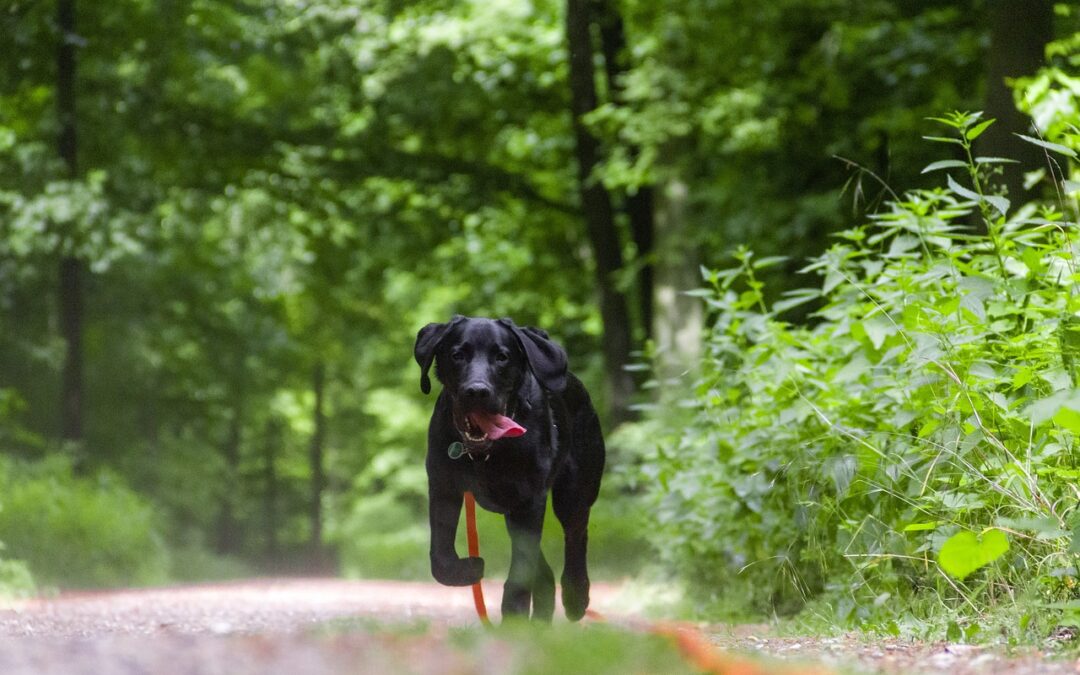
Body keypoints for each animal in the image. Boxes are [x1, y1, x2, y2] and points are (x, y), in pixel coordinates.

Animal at [412, 315, 604, 622]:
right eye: (457, 355)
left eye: (502, 357)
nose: (477, 391)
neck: (484, 455)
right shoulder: (444, 488)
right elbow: (440, 559)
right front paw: (469, 569)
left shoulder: (529, 500)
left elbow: (521, 569)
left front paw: (513, 616)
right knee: (544, 570)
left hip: (573, 492)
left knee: (576, 536)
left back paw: (576, 597)